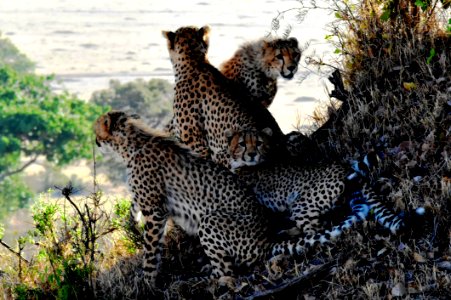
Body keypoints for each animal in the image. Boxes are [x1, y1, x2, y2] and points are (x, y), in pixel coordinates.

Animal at [93, 111, 398, 284]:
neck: (131, 142)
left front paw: (147, 282)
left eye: (97, 127)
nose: (93, 139)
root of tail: (264, 241)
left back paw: (217, 279)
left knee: (231, 270)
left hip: (212, 222)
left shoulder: (155, 212)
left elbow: (150, 250)